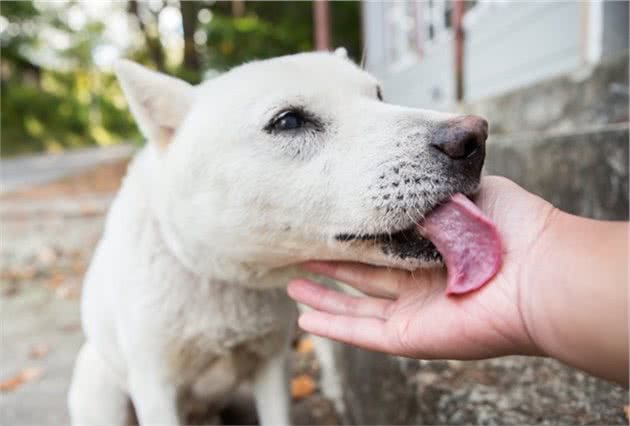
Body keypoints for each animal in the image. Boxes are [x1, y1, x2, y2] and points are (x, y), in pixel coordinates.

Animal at [68, 50, 488, 426]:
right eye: (288, 121)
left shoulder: (272, 368)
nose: (475, 138)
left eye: (379, 95)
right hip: (101, 389)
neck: (223, 279)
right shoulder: (156, 389)